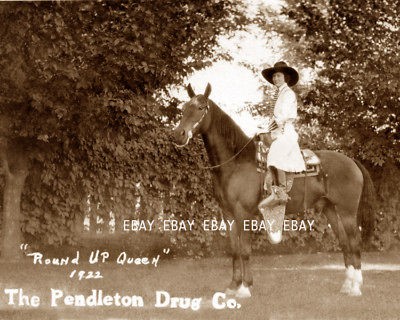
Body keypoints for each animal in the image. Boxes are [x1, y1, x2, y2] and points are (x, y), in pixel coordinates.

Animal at [172, 83, 376, 298]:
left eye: (200, 108)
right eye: (183, 108)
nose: (178, 134)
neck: (236, 163)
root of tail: (351, 161)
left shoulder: (243, 213)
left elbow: (245, 250)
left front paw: (245, 288)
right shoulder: (227, 214)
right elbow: (234, 250)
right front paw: (233, 285)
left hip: (347, 211)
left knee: (355, 242)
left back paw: (356, 287)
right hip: (330, 209)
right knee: (345, 243)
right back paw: (347, 285)